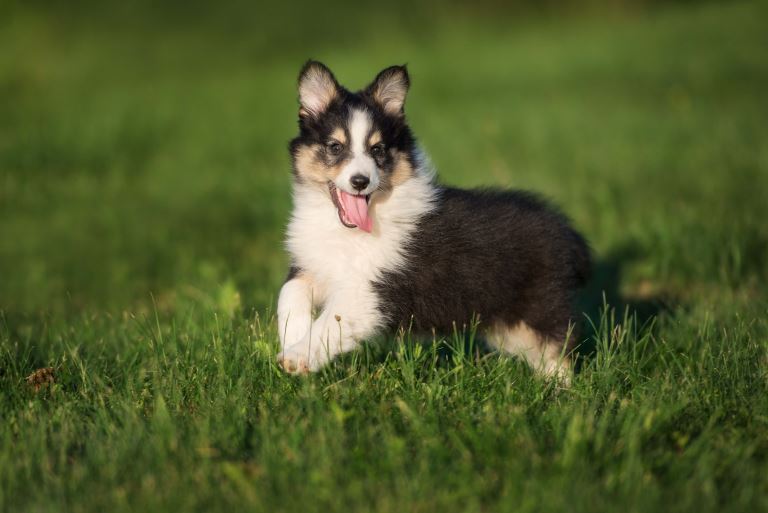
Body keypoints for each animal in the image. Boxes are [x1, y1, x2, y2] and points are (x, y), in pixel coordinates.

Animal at [280, 61, 592, 380]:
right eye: (335, 146)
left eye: (378, 149)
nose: (360, 182)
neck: (345, 230)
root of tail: (567, 231)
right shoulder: (314, 265)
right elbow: (289, 292)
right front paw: (293, 336)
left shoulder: (372, 291)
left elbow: (333, 320)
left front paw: (296, 357)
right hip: (510, 327)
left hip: (539, 310)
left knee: (559, 356)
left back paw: (558, 390)